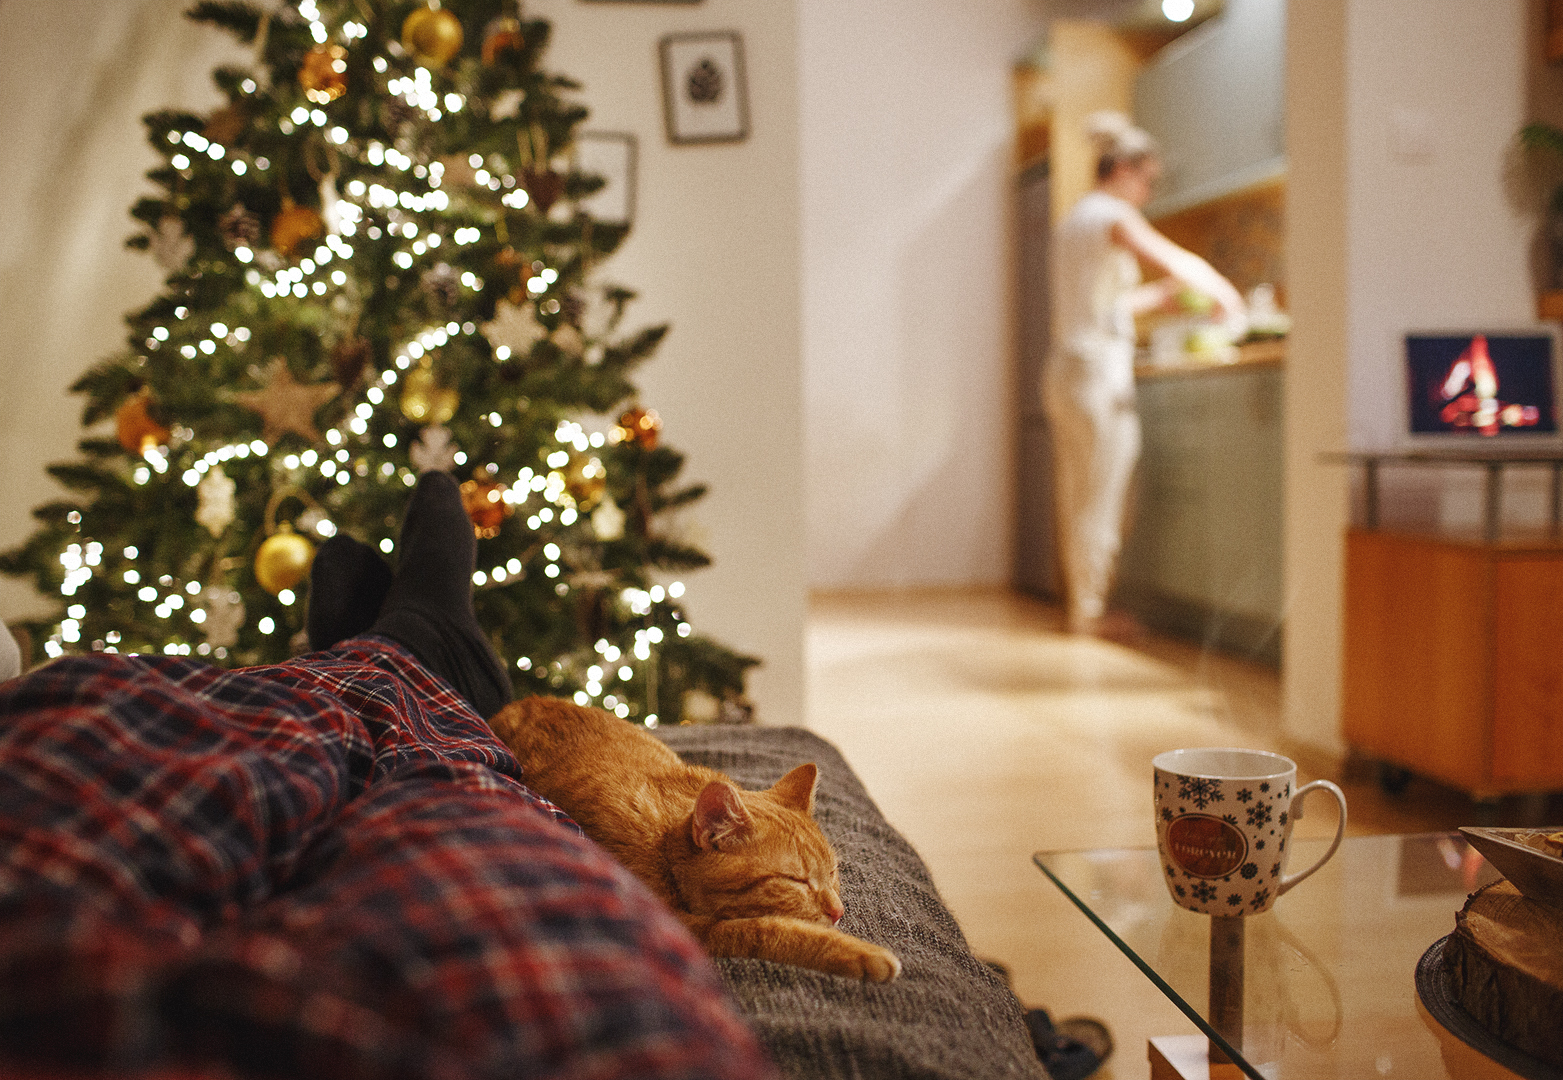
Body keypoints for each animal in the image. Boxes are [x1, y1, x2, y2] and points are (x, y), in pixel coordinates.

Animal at [487, 697, 906, 981]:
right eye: (795, 881)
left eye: (833, 872)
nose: (838, 912)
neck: (664, 846)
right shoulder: (692, 930)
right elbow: (764, 930)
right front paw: (860, 954)